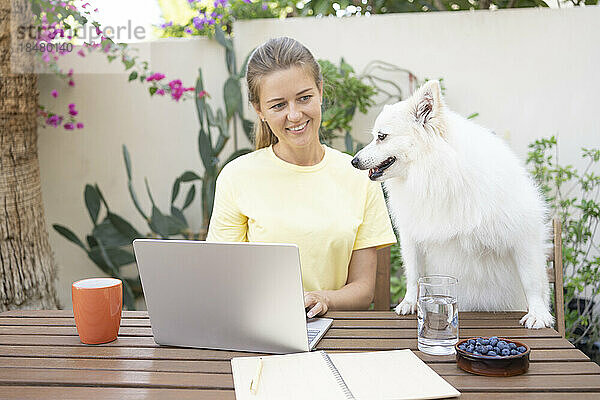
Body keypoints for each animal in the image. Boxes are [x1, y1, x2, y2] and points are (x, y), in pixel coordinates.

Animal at [352, 80, 552, 328]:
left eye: (381, 136)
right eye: (375, 136)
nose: (354, 161)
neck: (435, 174)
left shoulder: (522, 235)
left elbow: (531, 280)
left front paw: (538, 313)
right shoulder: (412, 237)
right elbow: (413, 274)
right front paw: (409, 302)